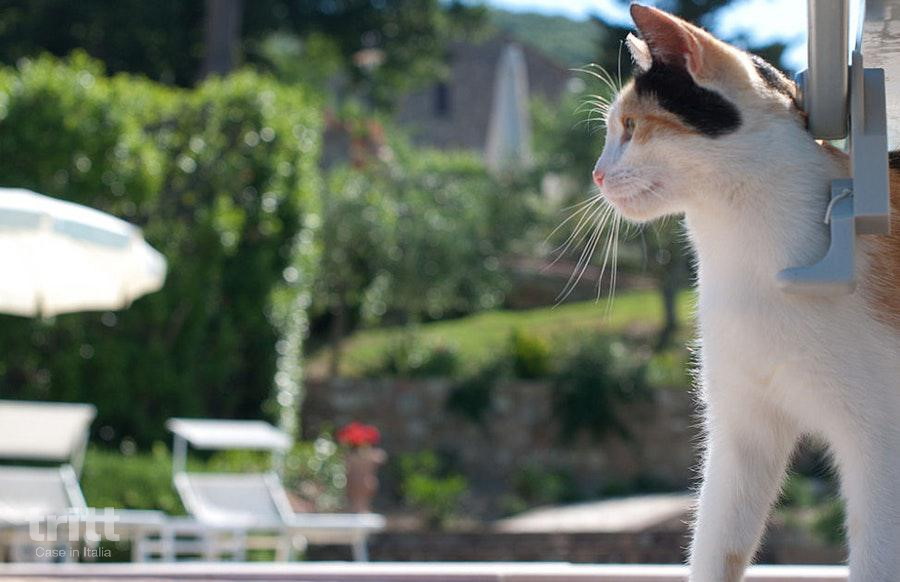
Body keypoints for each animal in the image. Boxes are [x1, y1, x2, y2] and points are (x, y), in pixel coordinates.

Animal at [591, 5, 900, 581]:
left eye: (630, 126)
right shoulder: (741, 431)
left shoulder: (881, 446)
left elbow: (875, 558)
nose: (596, 175)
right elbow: (716, 547)